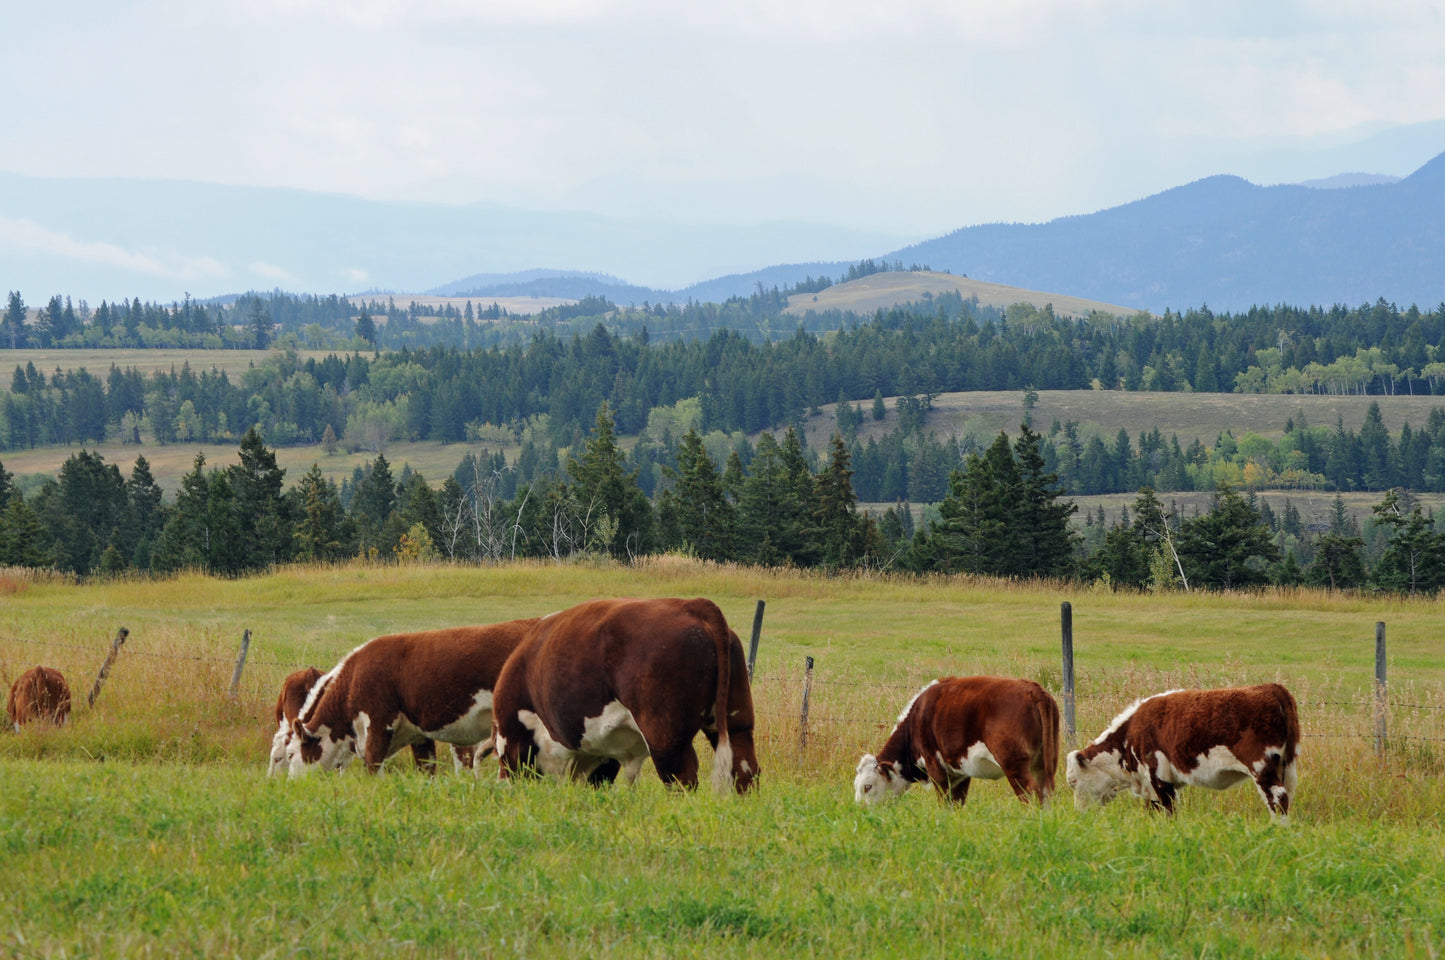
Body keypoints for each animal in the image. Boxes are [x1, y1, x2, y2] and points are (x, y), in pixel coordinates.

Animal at [281, 618, 537, 774]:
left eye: (291, 754)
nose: (293, 784)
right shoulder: (419, 735)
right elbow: (426, 768)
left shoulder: (378, 725)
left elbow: (373, 767)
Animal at [491, 595, 757, 792]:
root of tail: (693, 606)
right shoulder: (602, 752)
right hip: (735, 721)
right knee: (744, 770)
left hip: (666, 735)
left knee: (681, 778)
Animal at [849, 673, 1057, 809]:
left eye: (867, 786)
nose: (860, 811)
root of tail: (1033, 689)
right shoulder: (960, 773)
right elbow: (957, 803)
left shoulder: (936, 767)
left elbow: (945, 803)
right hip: (1043, 764)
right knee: (1045, 793)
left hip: (1013, 763)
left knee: (1030, 793)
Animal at [1069, 679, 1306, 821]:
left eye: (1073, 781)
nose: (1079, 815)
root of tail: (1272, 687)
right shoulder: (1153, 785)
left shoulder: (1158, 777)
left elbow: (1169, 811)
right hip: (1284, 767)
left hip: (1262, 767)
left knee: (1277, 799)